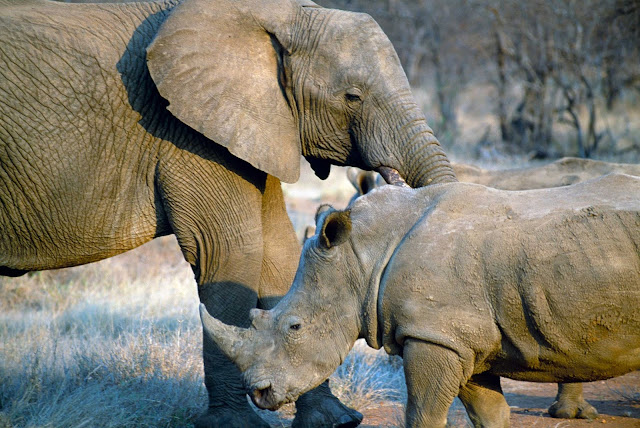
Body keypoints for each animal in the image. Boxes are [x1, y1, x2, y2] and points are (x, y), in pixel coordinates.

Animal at [1, 0, 456, 424]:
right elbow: (230, 251)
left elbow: (278, 249)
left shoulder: (259, 125)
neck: (276, 14)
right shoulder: (185, 131)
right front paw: (236, 424)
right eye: (353, 97)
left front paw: (334, 421)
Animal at [199, 174, 640, 428]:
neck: (362, 257)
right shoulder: (462, 337)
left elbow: (423, 414)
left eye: (295, 327)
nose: (258, 393)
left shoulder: (433, 334)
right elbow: (489, 413)